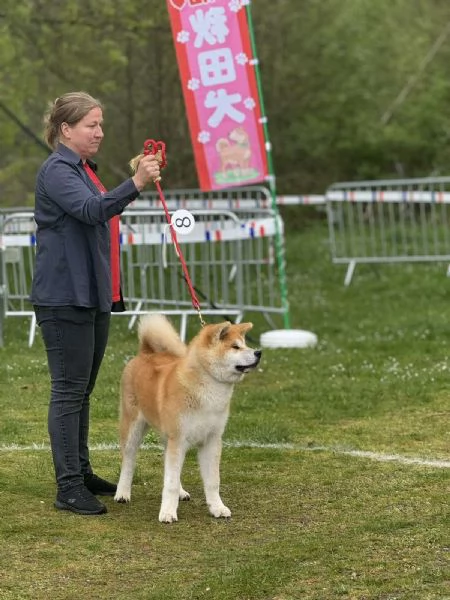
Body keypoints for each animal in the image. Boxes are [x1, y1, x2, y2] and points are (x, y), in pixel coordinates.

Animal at [114, 314, 262, 520]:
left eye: (245, 344)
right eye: (235, 347)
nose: (258, 353)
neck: (208, 389)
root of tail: (145, 353)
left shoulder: (211, 440)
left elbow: (212, 481)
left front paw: (217, 508)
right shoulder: (178, 438)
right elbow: (170, 483)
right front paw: (168, 513)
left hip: (167, 436)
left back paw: (181, 492)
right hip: (133, 428)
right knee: (128, 461)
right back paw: (122, 493)